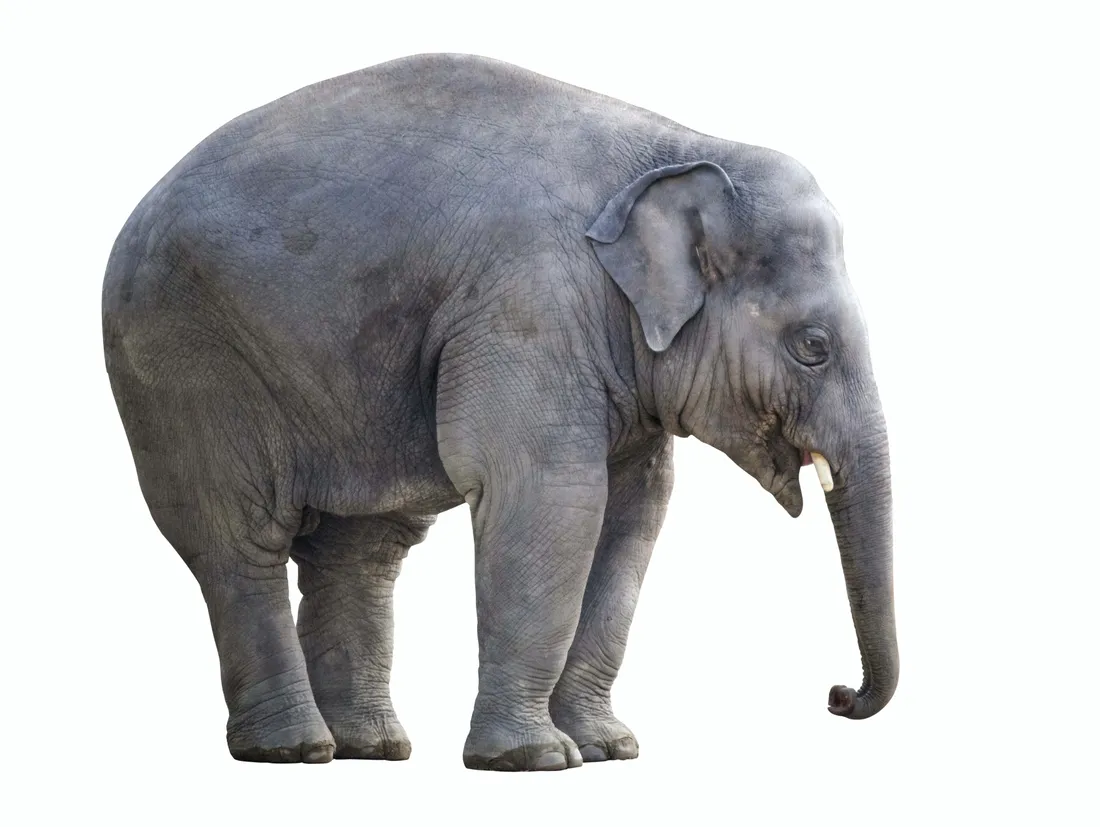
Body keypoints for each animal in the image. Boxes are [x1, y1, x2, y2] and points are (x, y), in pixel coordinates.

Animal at [101, 53, 897, 770]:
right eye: (813, 346)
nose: (836, 694)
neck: (683, 147)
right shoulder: (527, 304)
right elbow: (552, 496)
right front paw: (535, 759)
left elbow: (634, 514)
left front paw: (609, 750)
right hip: (185, 361)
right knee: (240, 541)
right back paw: (293, 749)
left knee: (363, 548)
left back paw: (370, 749)